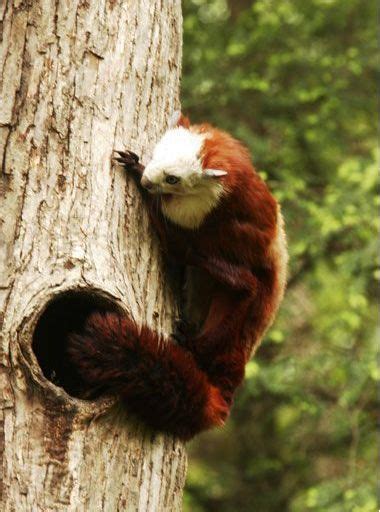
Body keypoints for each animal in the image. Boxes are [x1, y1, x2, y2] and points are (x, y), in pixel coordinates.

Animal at [68, 112, 288, 440]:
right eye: (158, 153)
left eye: (173, 179)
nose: (148, 180)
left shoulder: (203, 212)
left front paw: (137, 172)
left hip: (237, 312)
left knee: (241, 286)